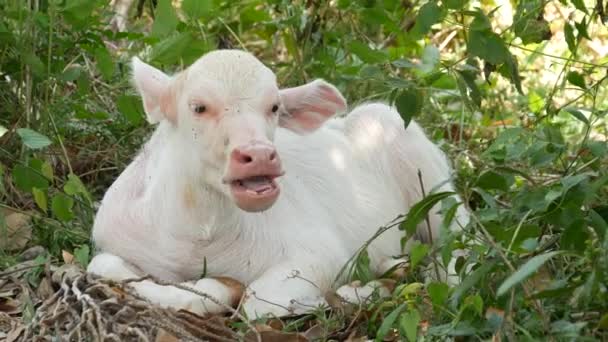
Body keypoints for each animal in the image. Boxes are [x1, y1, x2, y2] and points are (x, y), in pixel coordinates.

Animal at [86, 48, 470, 318]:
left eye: (273, 107)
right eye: (198, 107)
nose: (259, 155)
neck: (197, 234)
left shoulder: (320, 252)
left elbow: (258, 303)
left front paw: (348, 294)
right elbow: (101, 267)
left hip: (432, 184)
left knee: (460, 247)